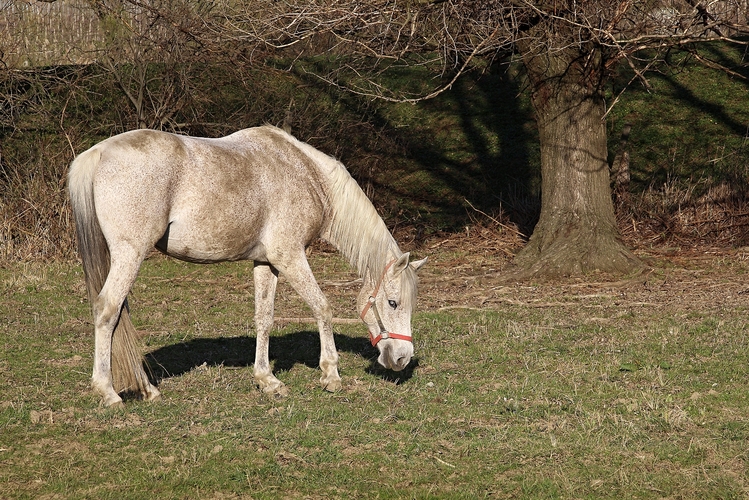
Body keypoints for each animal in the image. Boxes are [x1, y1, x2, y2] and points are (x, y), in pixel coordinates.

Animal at [69, 125, 426, 406]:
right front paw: (331, 374)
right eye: (392, 302)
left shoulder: (266, 262)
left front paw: (267, 380)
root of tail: (99, 153)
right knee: (108, 310)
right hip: (130, 254)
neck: (308, 175)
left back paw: (146, 389)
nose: (401, 358)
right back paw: (109, 393)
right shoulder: (290, 256)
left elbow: (264, 318)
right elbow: (322, 307)